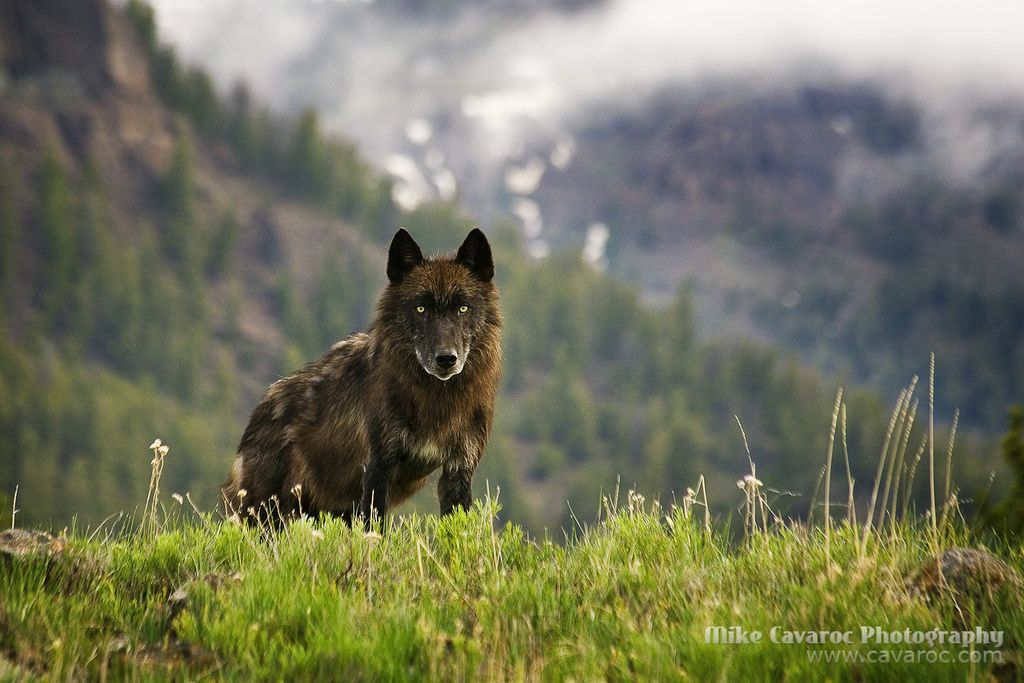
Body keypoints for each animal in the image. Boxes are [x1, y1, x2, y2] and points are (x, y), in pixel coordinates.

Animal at [222, 229, 501, 528]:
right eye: (421, 309)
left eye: (463, 308)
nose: (446, 359)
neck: (435, 401)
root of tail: (262, 406)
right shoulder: (379, 465)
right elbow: (375, 530)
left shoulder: (459, 469)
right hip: (267, 514)